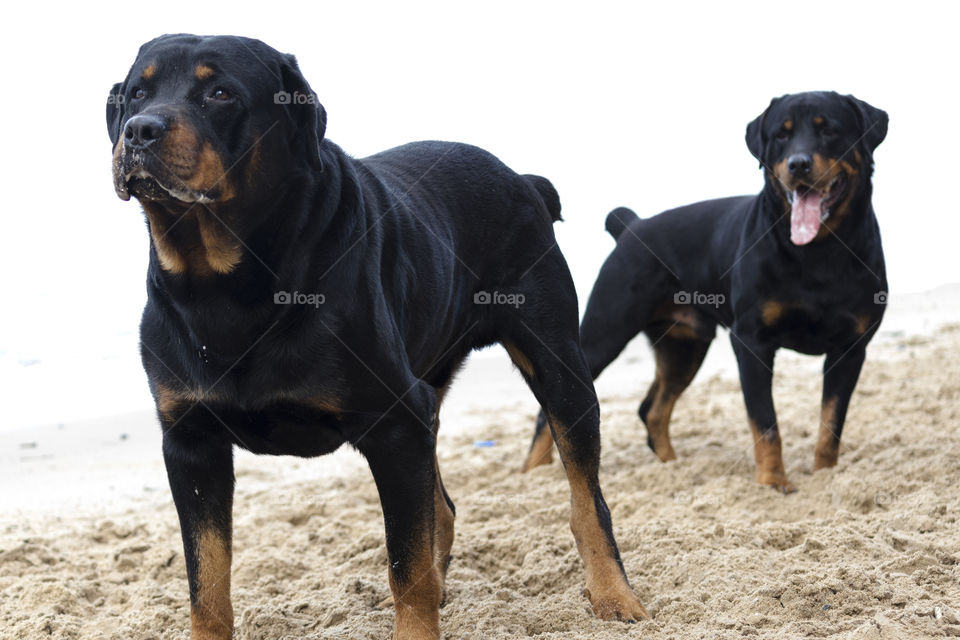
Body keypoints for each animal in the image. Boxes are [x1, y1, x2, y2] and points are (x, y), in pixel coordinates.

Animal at [105, 36, 648, 640]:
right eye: (137, 93)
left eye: (220, 93)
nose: (140, 130)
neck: (221, 286)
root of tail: (524, 182)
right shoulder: (190, 438)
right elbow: (207, 579)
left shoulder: (394, 422)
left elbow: (405, 565)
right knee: (442, 509)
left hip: (559, 364)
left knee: (586, 498)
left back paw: (614, 596)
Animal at [520, 90, 888, 492]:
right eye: (781, 135)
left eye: (829, 130)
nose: (798, 164)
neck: (818, 253)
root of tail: (632, 227)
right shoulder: (752, 341)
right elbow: (766, 424)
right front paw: (773, 483)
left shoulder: (851, 348)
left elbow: (831, 423)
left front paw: (826, 475)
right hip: (603, 333)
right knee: (551, 412)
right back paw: (533, 474)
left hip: (685, 344)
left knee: (652, 409)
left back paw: (670, 467)